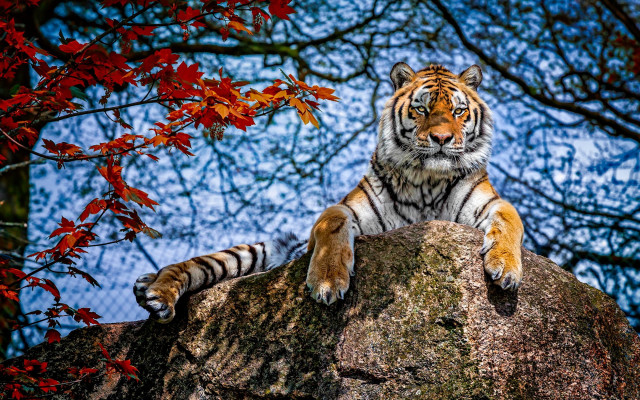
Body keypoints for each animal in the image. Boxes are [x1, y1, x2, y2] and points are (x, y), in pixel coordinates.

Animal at [134, 62, 524, 323]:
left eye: (458, 111)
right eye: (422, 108)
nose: (442, 139)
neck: (427, 179)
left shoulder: (488, 203)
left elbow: (511, 218)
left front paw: (506, 267)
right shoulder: (351, 210)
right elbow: (331, 222)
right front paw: (326, 281)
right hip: (245, 254)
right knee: (189, 265)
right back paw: (155, 291)